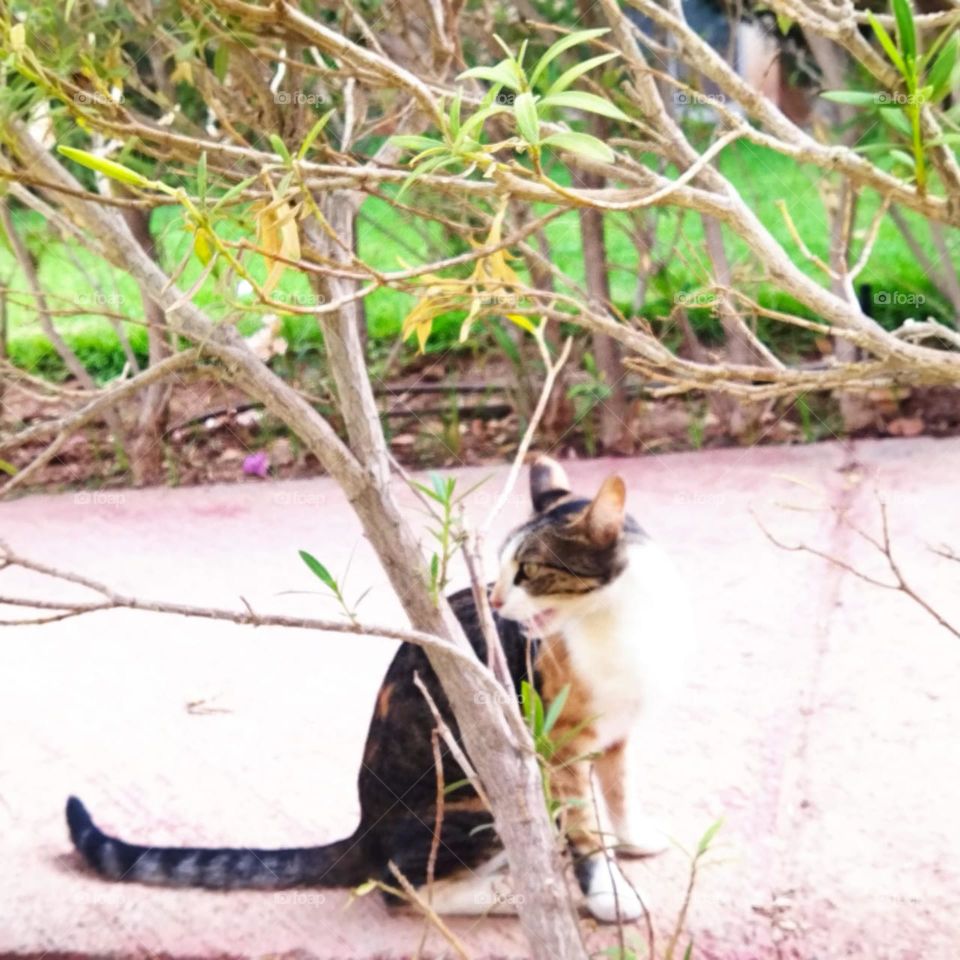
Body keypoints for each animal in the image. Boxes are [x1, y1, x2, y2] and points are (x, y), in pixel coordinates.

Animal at [65, 456, 688, 924]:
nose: (496, 598)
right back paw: (518, 895)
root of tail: (363, 830)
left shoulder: (616, 733)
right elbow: (587, 831)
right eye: (503, 567)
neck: (617, 623)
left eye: (529, 571)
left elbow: (620, 792)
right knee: (405, 889)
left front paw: (634, 838)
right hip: (483, 790)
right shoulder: (558, 746)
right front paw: (609, 894)